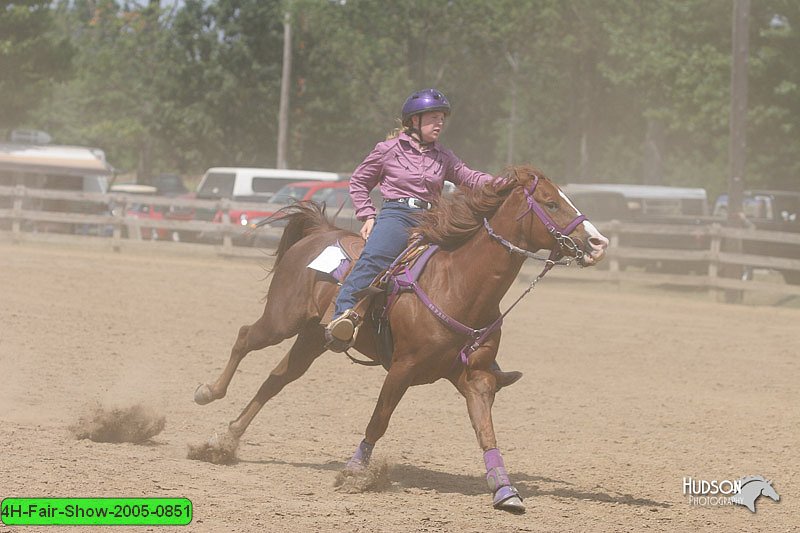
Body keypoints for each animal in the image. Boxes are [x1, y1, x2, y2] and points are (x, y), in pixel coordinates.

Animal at [192, 165, 608, 512]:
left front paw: (506, 491)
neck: (458, 284)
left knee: (277, 378)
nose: (598, 243)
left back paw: (224, 442)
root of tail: (322, 231)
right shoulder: (402, 369)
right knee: (245, 338)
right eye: (551, 202)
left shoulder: (476, 379)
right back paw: (208, 393)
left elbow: (486, 433)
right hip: (282, 319)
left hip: (313, 337)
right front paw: (355, 471)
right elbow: (379, 420)